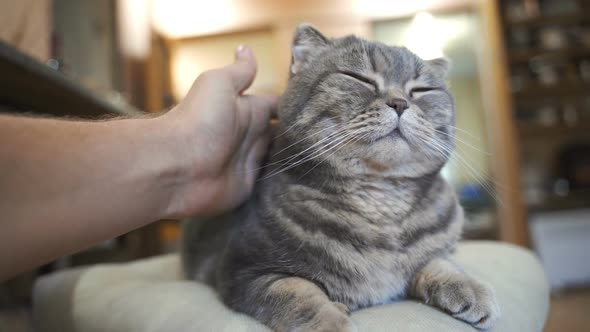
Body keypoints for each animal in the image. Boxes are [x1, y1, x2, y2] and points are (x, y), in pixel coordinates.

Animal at [180, 24, 500, 330]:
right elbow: (296, 293)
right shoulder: (244, 269)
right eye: (359, 78)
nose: (400, 103)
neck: (381, 200)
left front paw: (469, 288)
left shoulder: (433, 256)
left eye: (422, 90)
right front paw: (330, 320)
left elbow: (440, 263)